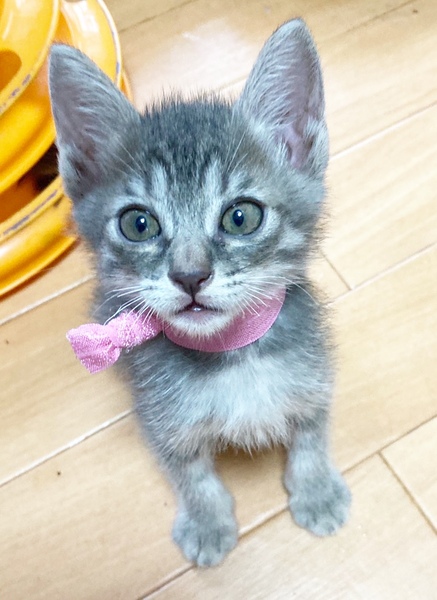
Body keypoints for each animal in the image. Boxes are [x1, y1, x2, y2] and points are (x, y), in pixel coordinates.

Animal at [48, 18, 351, 567]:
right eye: (139, 223)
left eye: (241, 216)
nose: (190, 275)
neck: (233, 355)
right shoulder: (160, 416)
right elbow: (190, 473)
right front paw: (208, 522)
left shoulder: (314, 371)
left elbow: (311, 432)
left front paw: (317, 489)